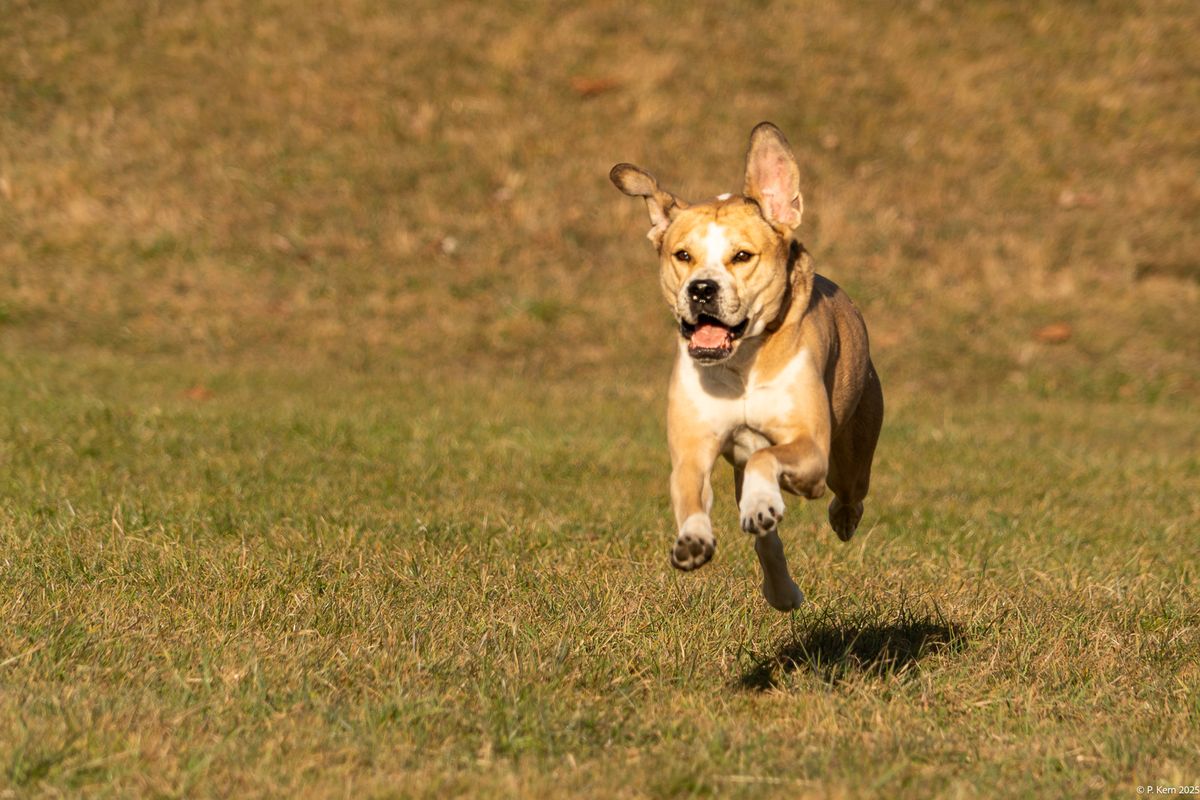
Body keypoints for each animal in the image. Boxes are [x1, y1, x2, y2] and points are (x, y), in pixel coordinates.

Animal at [609, 122, 883, 609]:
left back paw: (833, 517)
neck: (741, 366)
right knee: (766, 538)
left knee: (848, 492)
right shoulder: (693, 447)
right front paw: (693, 540)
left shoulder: (809, 447)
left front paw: (762, 502)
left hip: (851, 453)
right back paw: (781, 588)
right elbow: (691, 490)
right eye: (683, 255)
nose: (701, 289)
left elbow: (767, 456)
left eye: (741, 256)